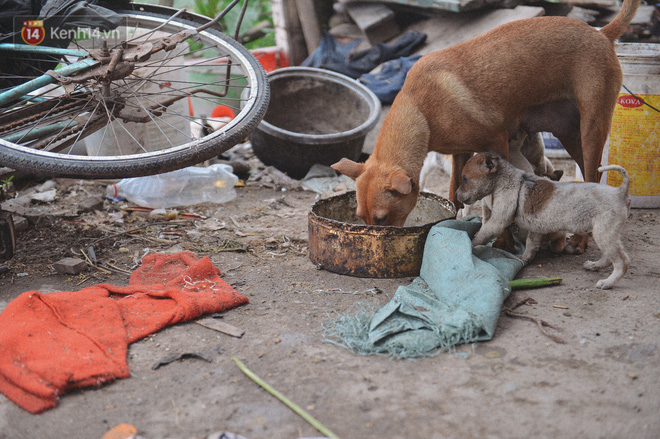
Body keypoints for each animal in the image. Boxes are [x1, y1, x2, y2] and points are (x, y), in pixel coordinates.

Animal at [336, 0, 640, 234]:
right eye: (360, 217)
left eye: (382, 218)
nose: (377, 240)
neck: (420, 110)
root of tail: (601, 33)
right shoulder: (459, 154)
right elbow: (454, 195)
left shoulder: (497, 142)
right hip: (569, 133)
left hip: (591, 129)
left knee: (593, 175)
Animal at [456, 153, 632, 290]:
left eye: (465, 179)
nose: (456, 196)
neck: (507, 180)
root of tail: (620, 191)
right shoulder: (535, 229)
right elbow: (530, 244)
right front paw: (525, 257)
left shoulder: (497, 222)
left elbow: (480, 235)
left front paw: (469, 244)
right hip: (607, 234)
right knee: (610, 257)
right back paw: (595, 265)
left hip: (604, 233)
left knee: (622, 262)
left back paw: (607, 282)